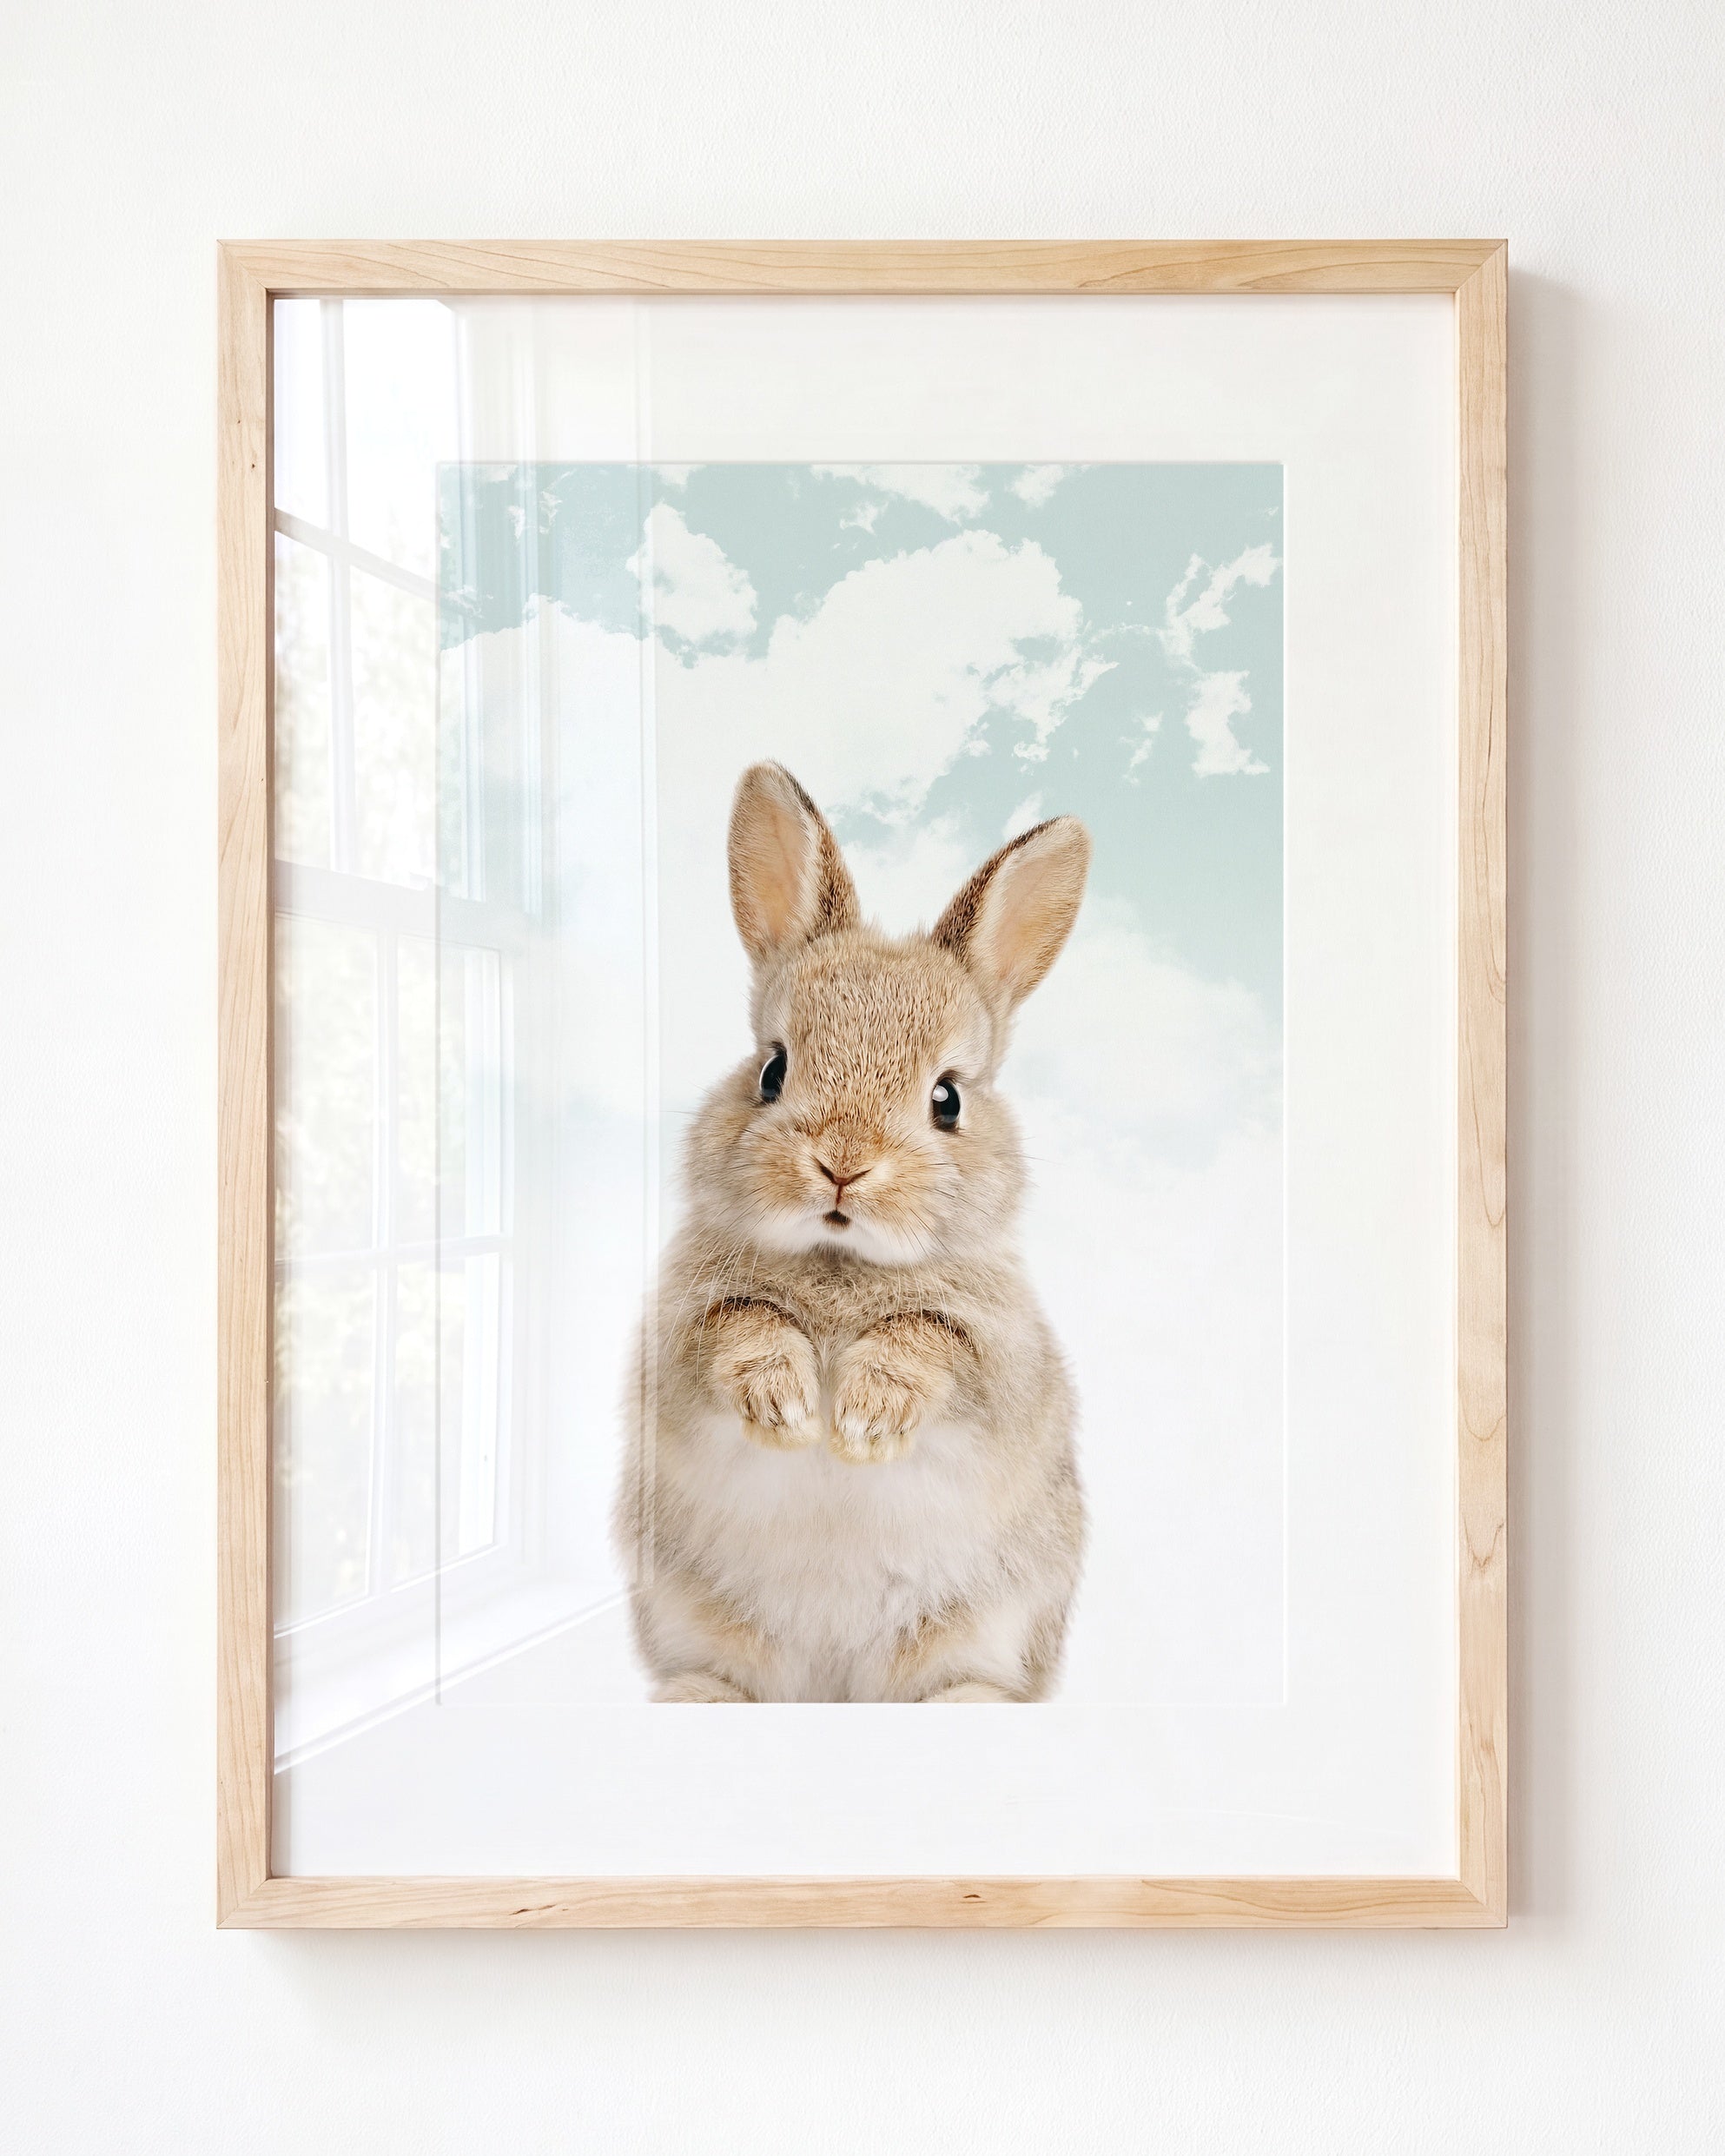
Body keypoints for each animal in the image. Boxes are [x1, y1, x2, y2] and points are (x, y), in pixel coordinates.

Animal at [614, 761, 1090, 1702]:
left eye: (947, 1098)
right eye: (772, 1069)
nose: (842, 1164)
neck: (839, 1260)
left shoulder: (1001, 1361)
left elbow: (929, 1340)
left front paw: (863, 1421)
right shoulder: (680, 1341)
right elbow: (741, 1326)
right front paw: (789, 1407)